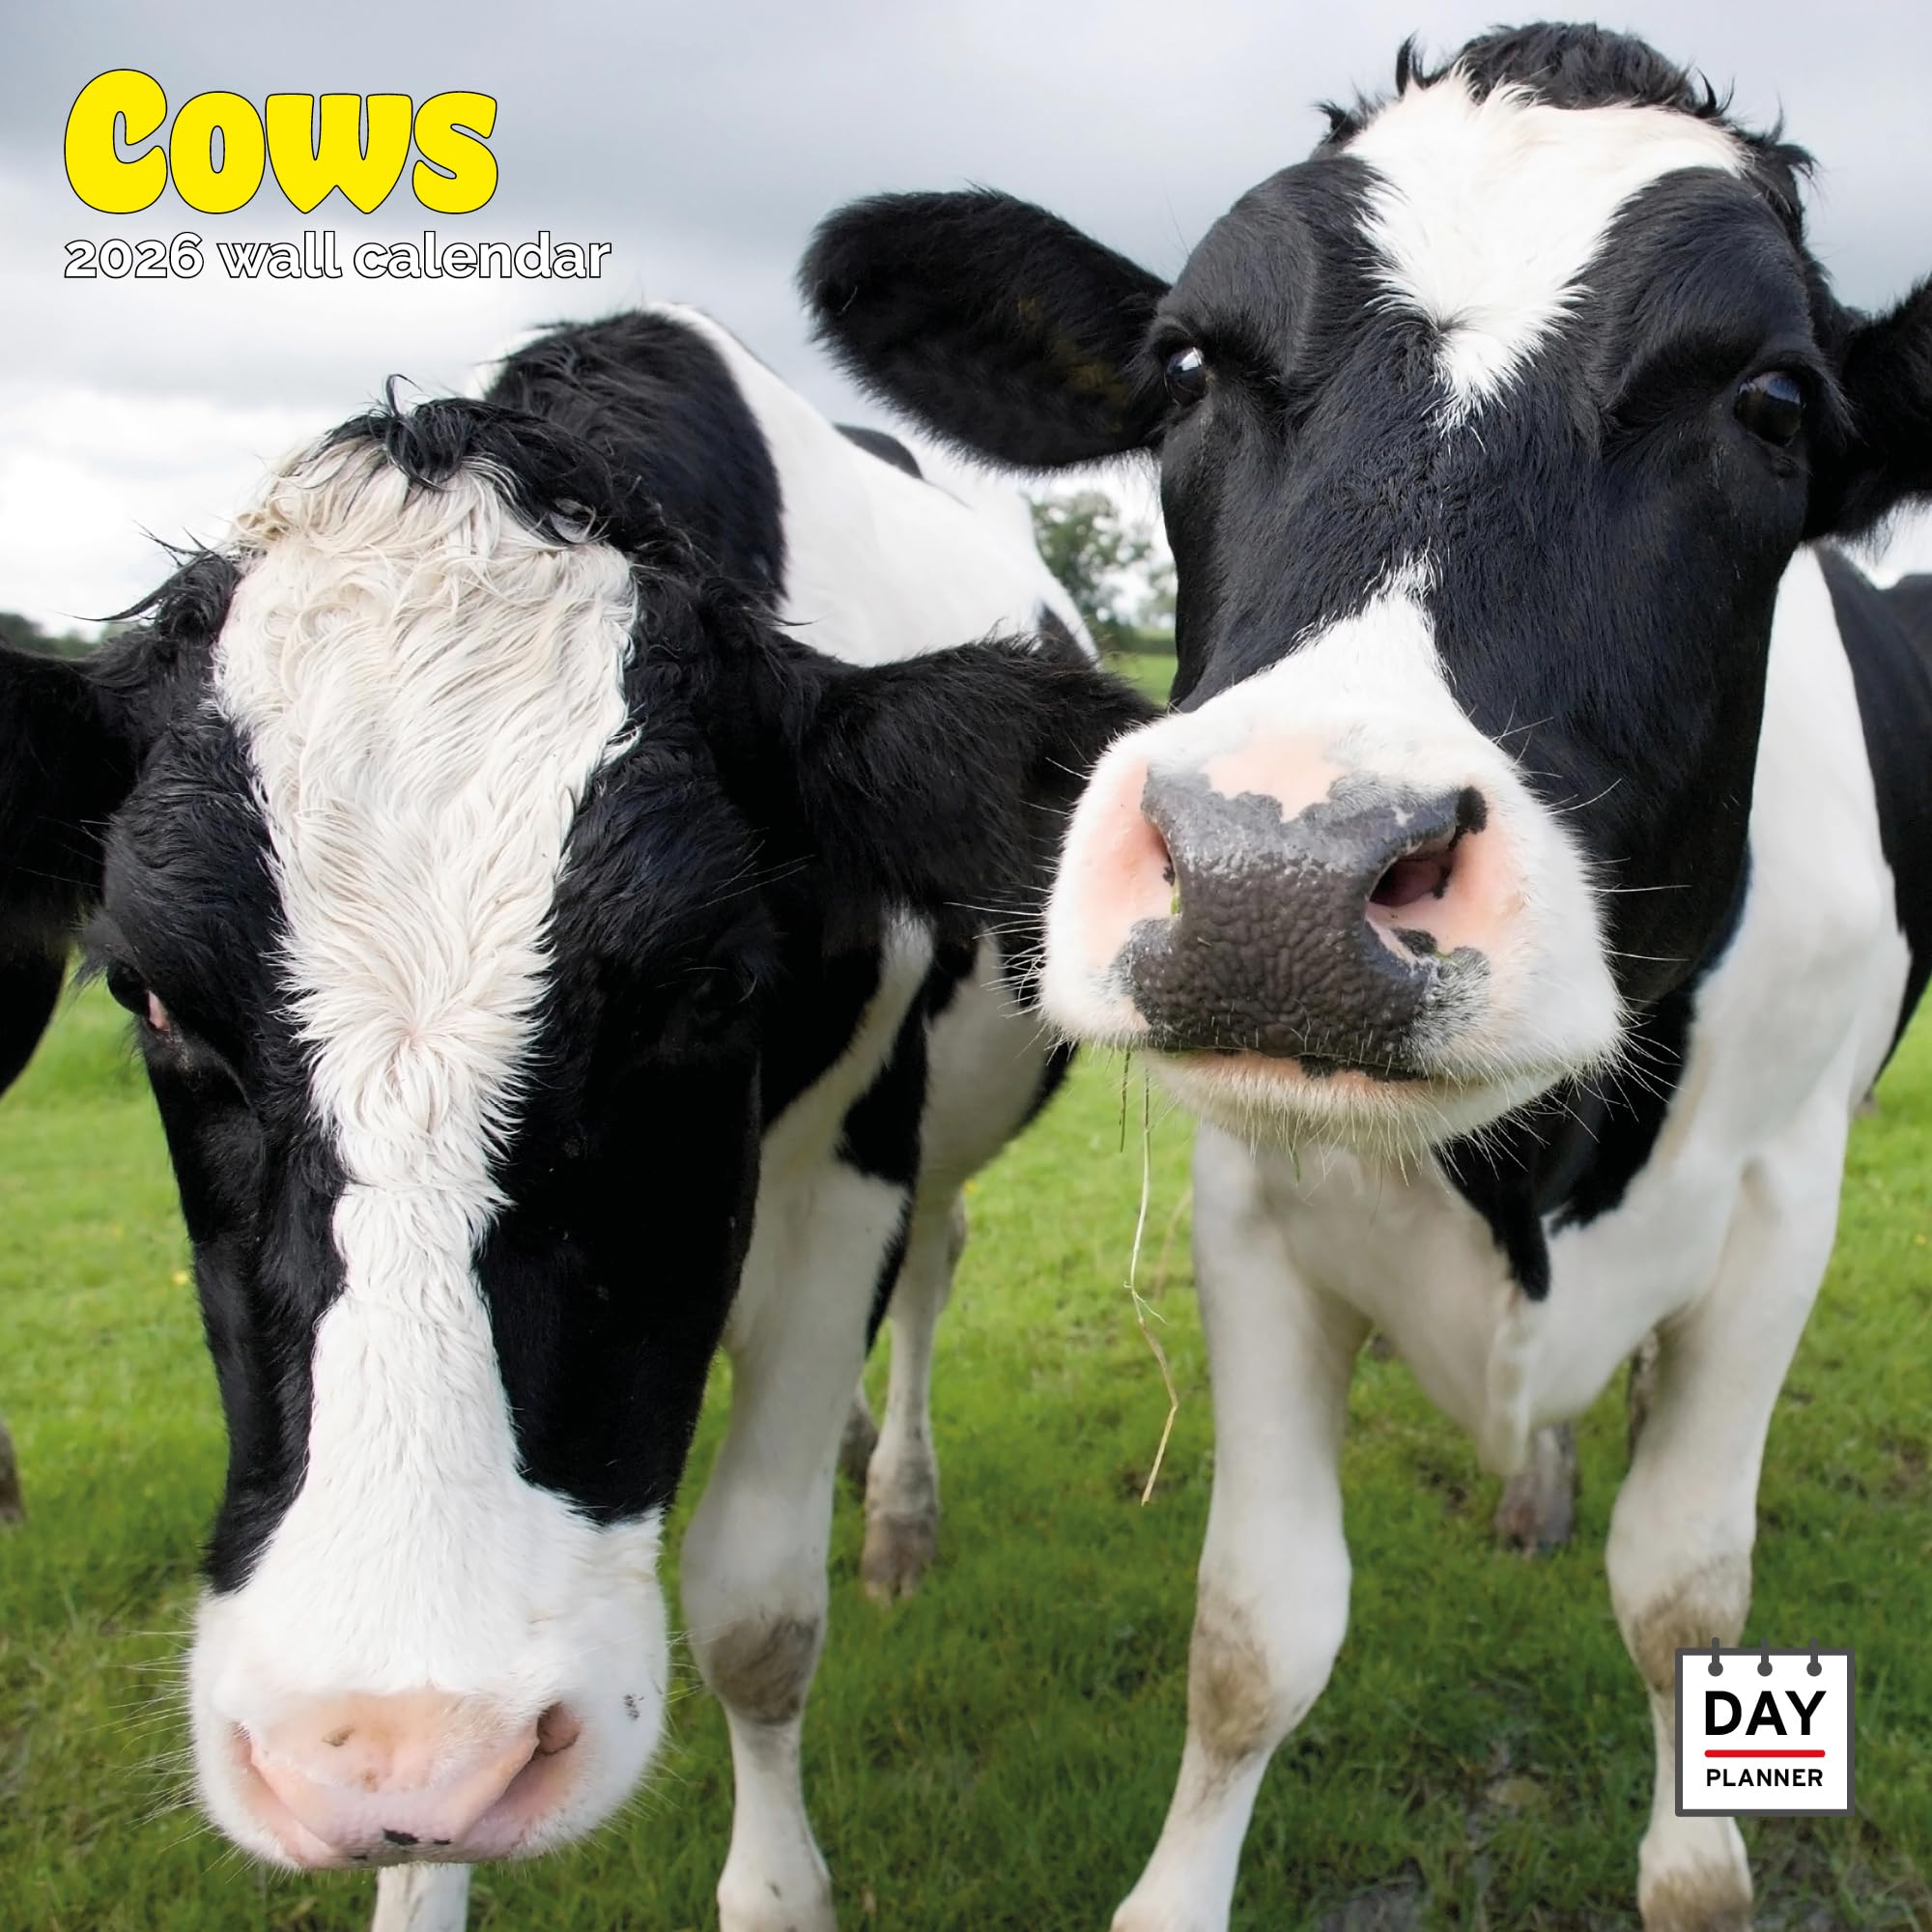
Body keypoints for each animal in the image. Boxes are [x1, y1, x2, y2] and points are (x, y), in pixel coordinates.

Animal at [0, 305, 1150, 1932]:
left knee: (935, 1263)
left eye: (703, 987)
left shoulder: (850, 1170)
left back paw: (899, 1513)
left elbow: (753, 1612)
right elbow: (425, 1848)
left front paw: (778, 1890)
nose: (401, 1745)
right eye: (152, 997)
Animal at [805, 22, 1932, 1930]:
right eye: (1189, 364)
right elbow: (1257, 1636)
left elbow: (1685, 1599)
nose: (1276, 874)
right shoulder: (1251, 1201)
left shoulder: (1786, 1203)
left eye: (1775, 404)